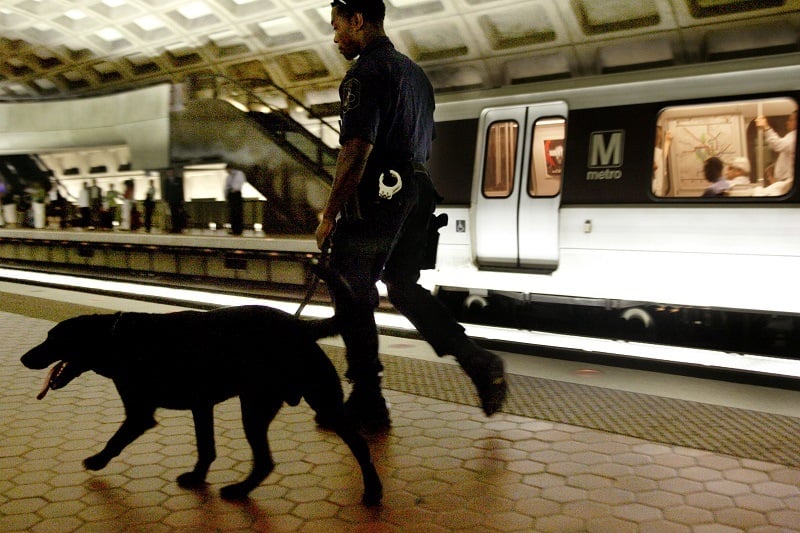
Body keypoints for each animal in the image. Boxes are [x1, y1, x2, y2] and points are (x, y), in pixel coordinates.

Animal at [18, 266, 382, 502]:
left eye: (53, 339)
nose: (24, 358)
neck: (115, 338)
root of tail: (303, 326)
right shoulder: (200, 405)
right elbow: (206, 447)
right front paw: (196, 477)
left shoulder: (140, 415)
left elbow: (115, 440)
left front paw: (96, 460)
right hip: (265, 405)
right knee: (266, 461)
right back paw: (241, 490)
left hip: (296, 404)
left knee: (357, 446)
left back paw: (372, 491)